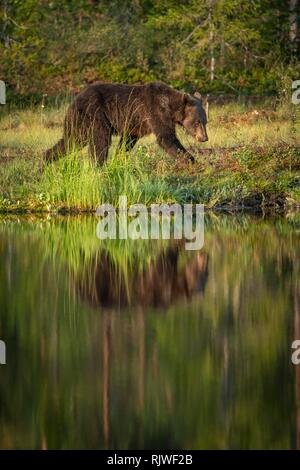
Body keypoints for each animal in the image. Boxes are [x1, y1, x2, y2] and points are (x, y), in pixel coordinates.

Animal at [44, 82, 209, 165]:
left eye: (205, 121)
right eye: (197, 122)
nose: (204, 138)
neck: (170, 107)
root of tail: (74, 100)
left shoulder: (135, 123)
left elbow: (127, 140)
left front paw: (119, 157)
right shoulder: (154, 110)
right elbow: (166, 138)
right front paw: (193, 161)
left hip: (79, 123)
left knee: (70, 141)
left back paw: (44, 162)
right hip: (95, 114)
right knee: (100, 141)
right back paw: (98, 166)